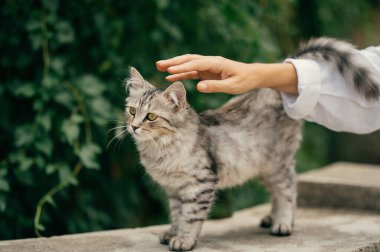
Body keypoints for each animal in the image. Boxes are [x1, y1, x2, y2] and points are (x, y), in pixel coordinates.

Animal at [124, 38, 378, 252]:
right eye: (132, 111)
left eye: (151, 117)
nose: (134, 127)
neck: (160, 150)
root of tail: (275, 91)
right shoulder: (174, 190)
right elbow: (176, 214)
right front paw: (172, 232)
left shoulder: (199, 184)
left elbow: (190, 216)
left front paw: (184, 240)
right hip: (262, 167)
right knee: (277, 192)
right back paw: (271, 218)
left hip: (276, 164)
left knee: (288, 190)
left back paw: (283, 223)